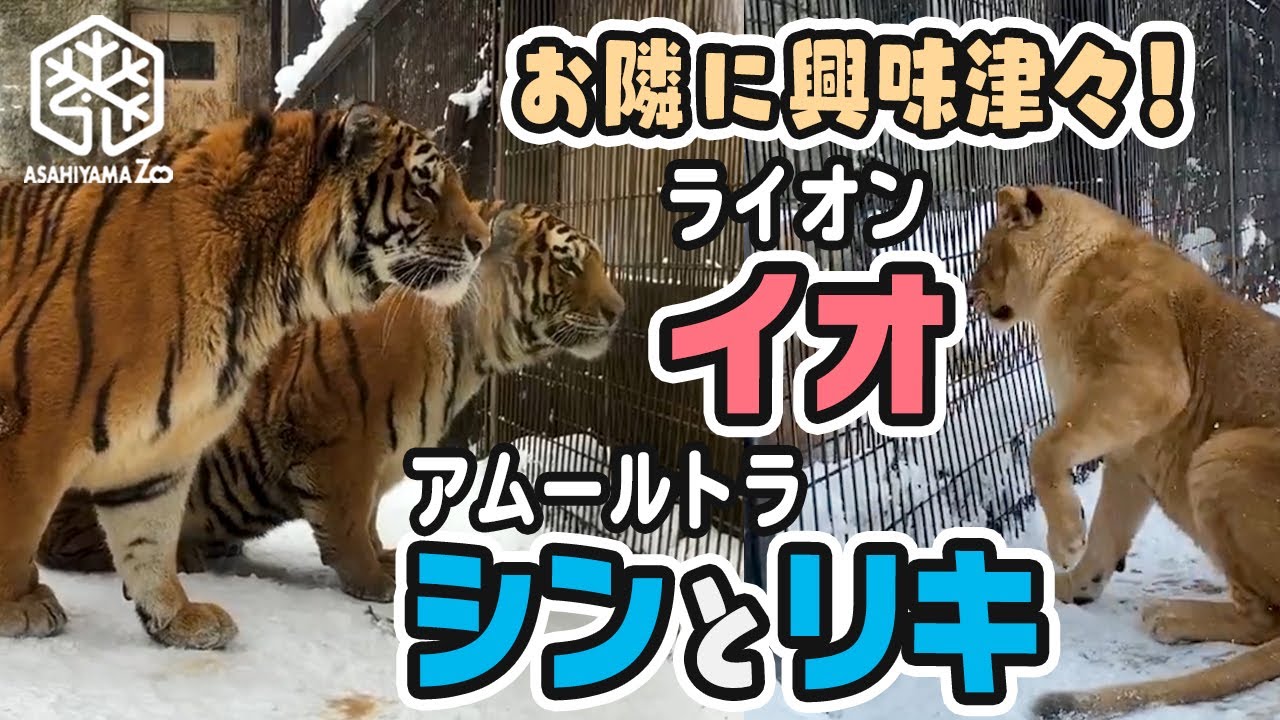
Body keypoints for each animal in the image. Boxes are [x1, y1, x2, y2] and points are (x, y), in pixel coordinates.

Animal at [0, 102, 490, 649]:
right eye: (425, 187)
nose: (483, 242)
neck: (270, 293)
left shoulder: (157, 447)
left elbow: (148, 539)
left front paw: (176, 616)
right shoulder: (30, 419)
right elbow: (16, 523)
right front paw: (17, 605)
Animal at [37, 202, 625, 602]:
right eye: (569, 266)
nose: (620, 310)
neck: (473, 353)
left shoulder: (383, 457)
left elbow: (368, 517)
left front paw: (386, 559)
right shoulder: (336, 439)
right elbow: (344, 522)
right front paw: (373, 581)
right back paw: (186, 551)